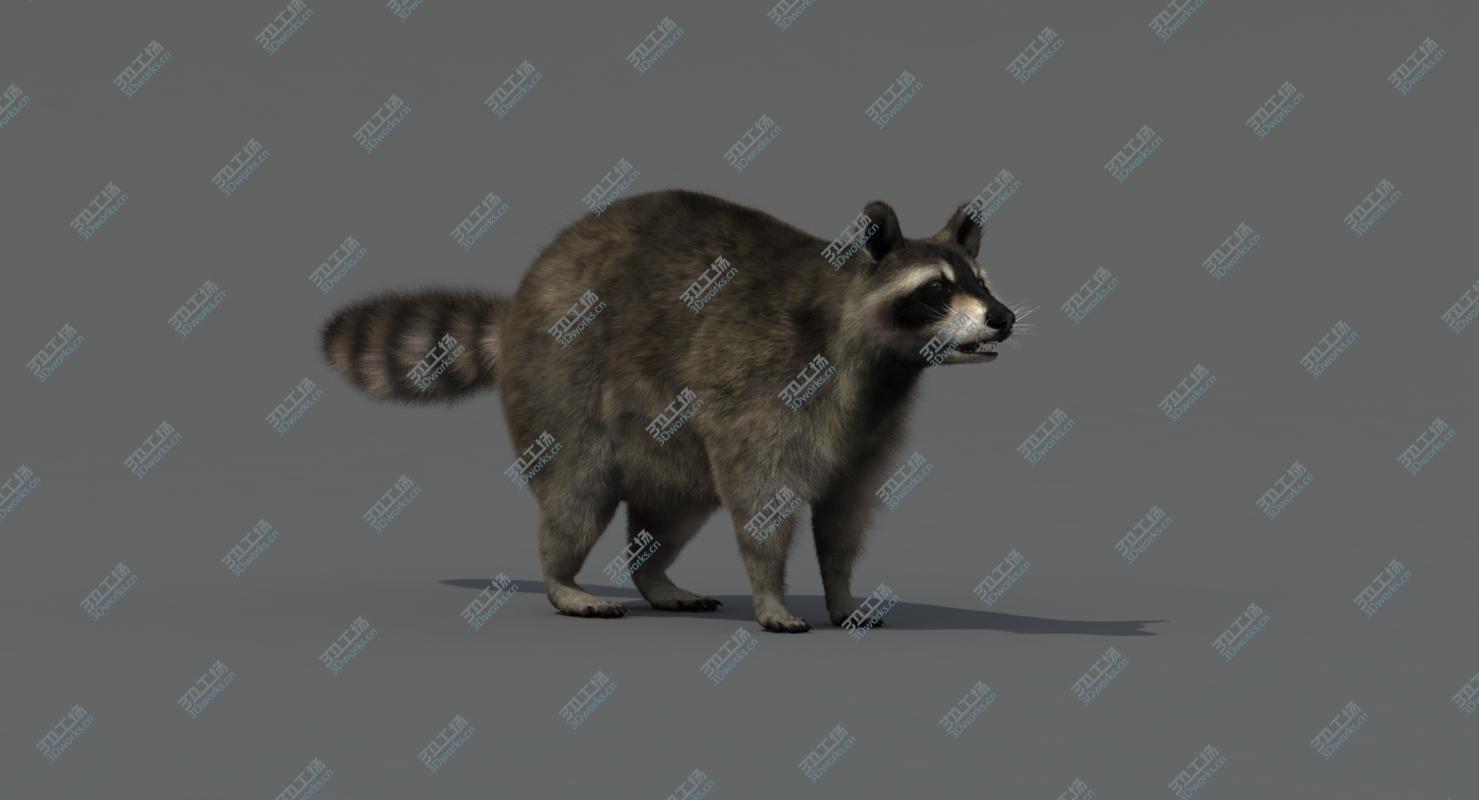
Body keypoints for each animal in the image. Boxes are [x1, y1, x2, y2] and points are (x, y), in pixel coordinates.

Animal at [320, 190, 1016, 632]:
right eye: (936, 289)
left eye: (982, 283)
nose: (1004, 318)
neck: (884, 365)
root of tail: (518, 308)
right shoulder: (766, 387)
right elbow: (760, 499)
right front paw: (770, 593)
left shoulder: (871, 426)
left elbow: (845, 516)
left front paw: (840, 592)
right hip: (561, 380)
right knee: (575, 492)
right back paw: (562, 578)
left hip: (665, 437)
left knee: (670, 512)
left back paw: (652, 576)